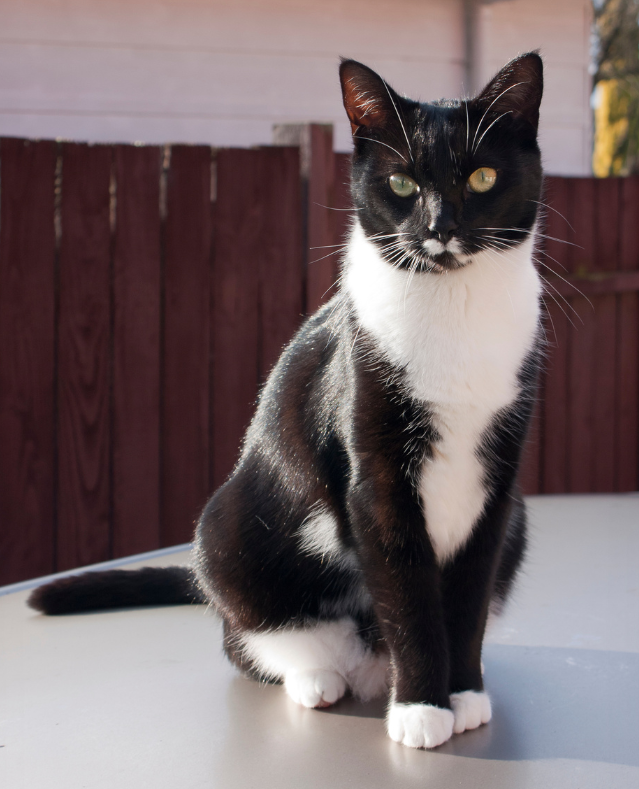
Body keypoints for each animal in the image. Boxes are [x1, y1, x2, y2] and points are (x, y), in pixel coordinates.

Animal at [27, 52, 544, 748]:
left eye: (483, 176)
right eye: (402, 183)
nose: (440, 229)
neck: (452, 311)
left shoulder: (496, 486)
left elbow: (464, 599)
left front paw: (461, 695)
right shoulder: (375, 477)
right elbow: (409, 594)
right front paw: (420, 708)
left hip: (518, 518)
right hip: (226, 529)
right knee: (243, 635)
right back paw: (315, 677)